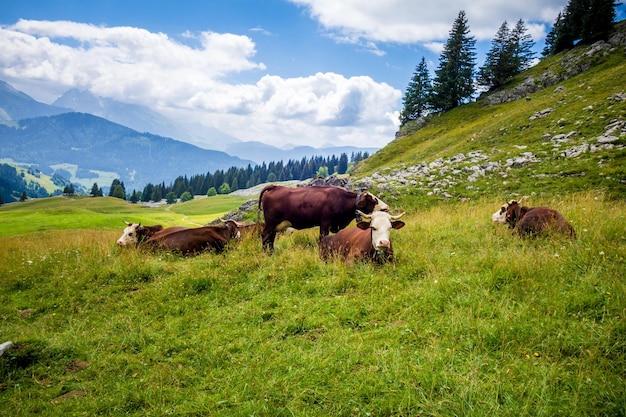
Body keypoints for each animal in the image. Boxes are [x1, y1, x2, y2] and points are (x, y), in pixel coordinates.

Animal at [258, 186, 386, 254]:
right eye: (373, 199)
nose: (386, 207)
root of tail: (275, 187)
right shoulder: (325, 223)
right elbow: (323, 238)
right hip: (271, 223)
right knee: (265, 236)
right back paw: (266, 254)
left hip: (275, 225)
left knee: (271, 238)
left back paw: (271, 252)